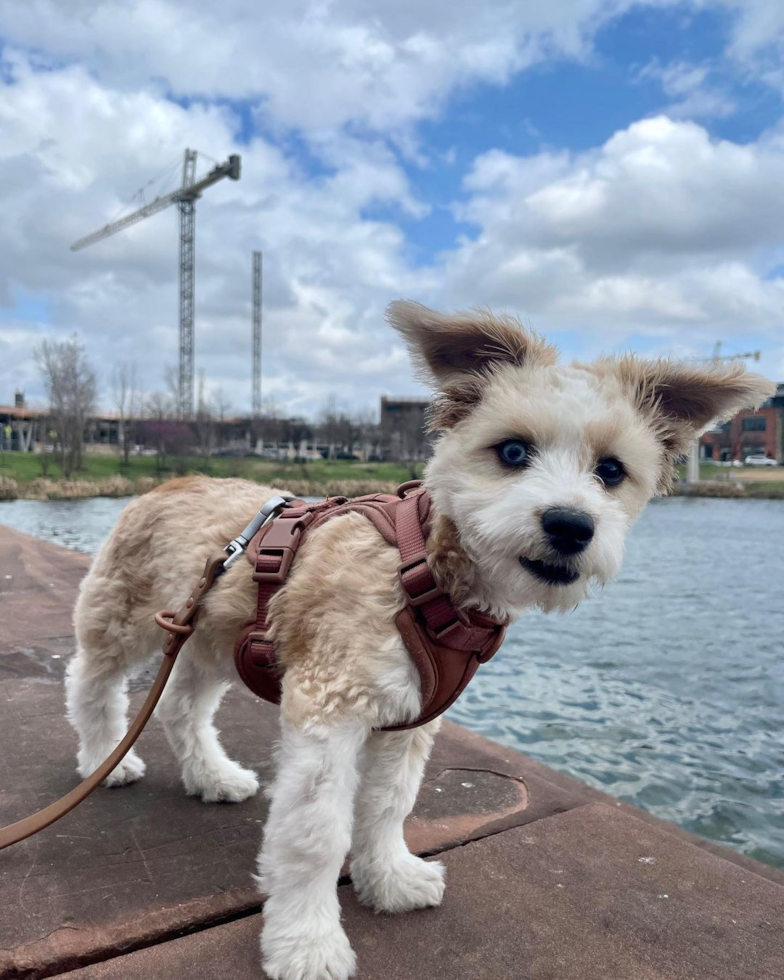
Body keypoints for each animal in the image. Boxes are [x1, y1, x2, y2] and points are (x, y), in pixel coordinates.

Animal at [64, 300, 776, 980]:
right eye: (513, 452)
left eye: (611, 469)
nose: (571, 525)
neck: (427, 571)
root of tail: (168, 479)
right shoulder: (329, 711)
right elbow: (315, 835)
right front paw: (307, 943)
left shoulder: (406, 721)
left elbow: (387, 807)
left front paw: (389, 881)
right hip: (122, 619)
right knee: (90, 685)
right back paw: (107, 761)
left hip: (212, 640)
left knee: (182, 706)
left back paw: (211, 777)